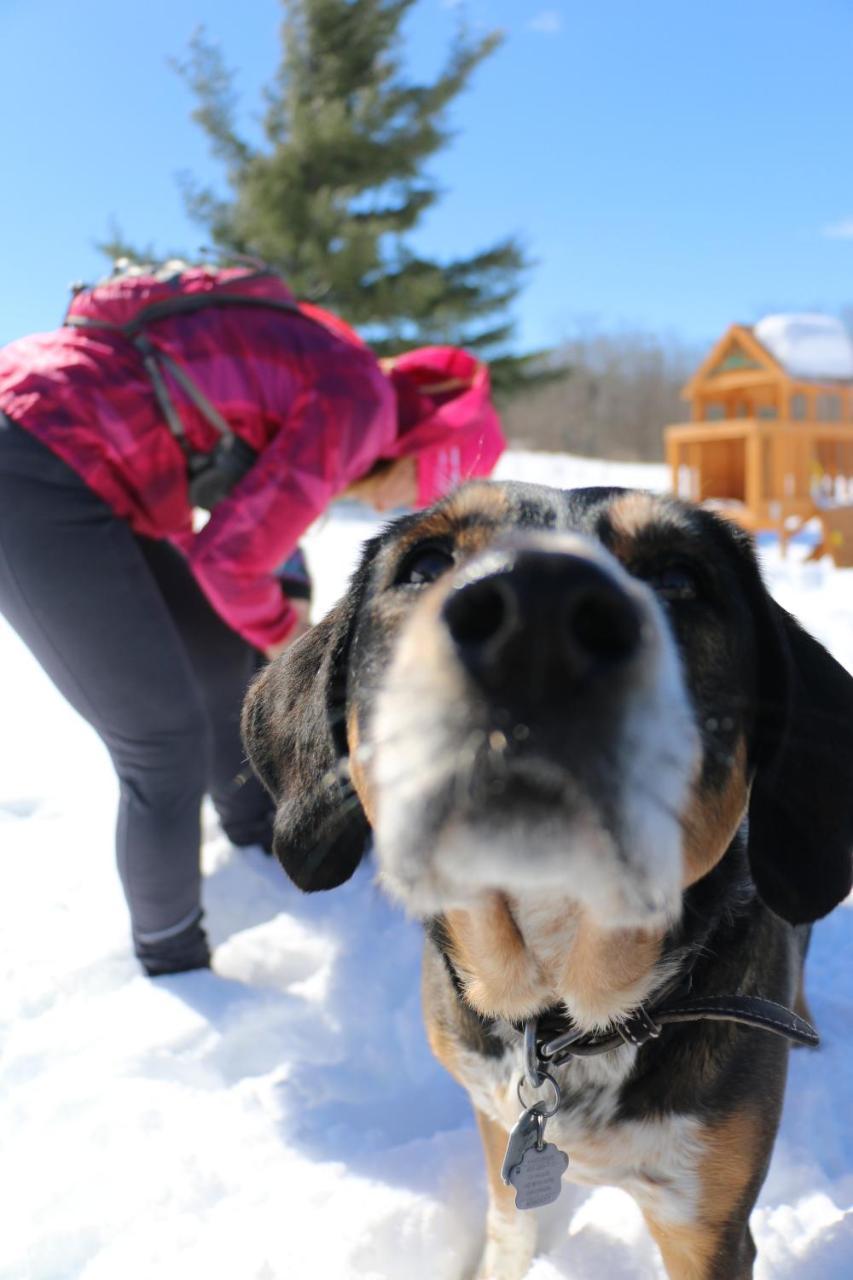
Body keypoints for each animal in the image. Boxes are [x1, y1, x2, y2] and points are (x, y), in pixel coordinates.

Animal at [239, 483, 850, 1280]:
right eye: (425, 563)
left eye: (680, 578)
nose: (537, 613)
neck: (564, 1010)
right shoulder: (495, 1118)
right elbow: (508, 1228)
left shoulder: (706, 1215)